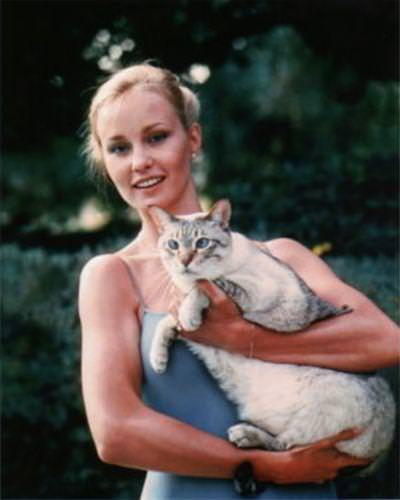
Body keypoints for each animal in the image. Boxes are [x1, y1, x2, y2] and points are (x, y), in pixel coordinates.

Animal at [148, 199, 396, 468]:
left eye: (202, 243)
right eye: (173, 245)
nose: (184, 261)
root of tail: (382, 442)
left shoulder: (252, 294)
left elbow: (205, 286)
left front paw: (190, 314)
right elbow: (166, 321)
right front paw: (158, 360)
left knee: (288, 448)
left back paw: (244, 434)